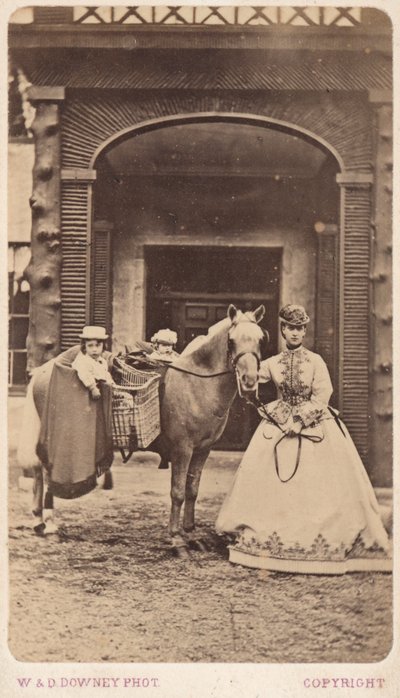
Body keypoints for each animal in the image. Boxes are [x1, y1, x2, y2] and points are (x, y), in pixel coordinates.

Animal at [17, 304, 268, 548]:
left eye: (260, 339)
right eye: (231, 340)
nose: (249, 382)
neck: (195, 384)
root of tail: (44, 369)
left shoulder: (202, 450)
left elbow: (192, 490)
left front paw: (190, 531)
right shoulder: (182, 449)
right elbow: (178, 491)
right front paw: (175, 536)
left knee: (39, 472)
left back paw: (39, 520)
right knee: (44, 471)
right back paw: (48, 522)